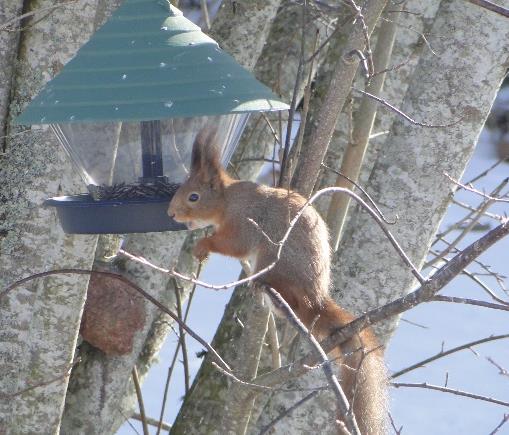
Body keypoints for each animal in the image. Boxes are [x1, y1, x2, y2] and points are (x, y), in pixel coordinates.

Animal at [167, 131, 384, 434]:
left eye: (194, 197)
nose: (171, 214)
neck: (227, 201)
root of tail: (314, 296)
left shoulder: (244, 223)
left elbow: (235, 244)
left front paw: (204, 245)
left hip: (272, 257)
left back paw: (262, 287)